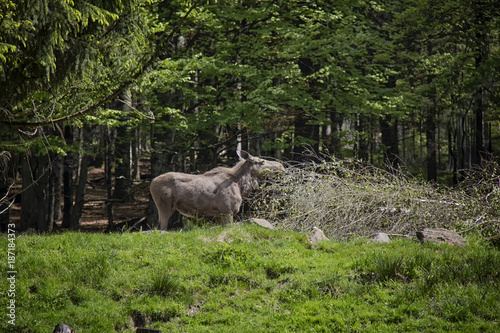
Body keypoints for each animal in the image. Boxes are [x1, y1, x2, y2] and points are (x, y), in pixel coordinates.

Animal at [148, 150, 284, 230]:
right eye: (262, 161)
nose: (281, 166)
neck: (240, 185)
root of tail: (151, 183)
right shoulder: (227, 210)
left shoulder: (220, 215)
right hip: (164, 205)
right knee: (162, 228)